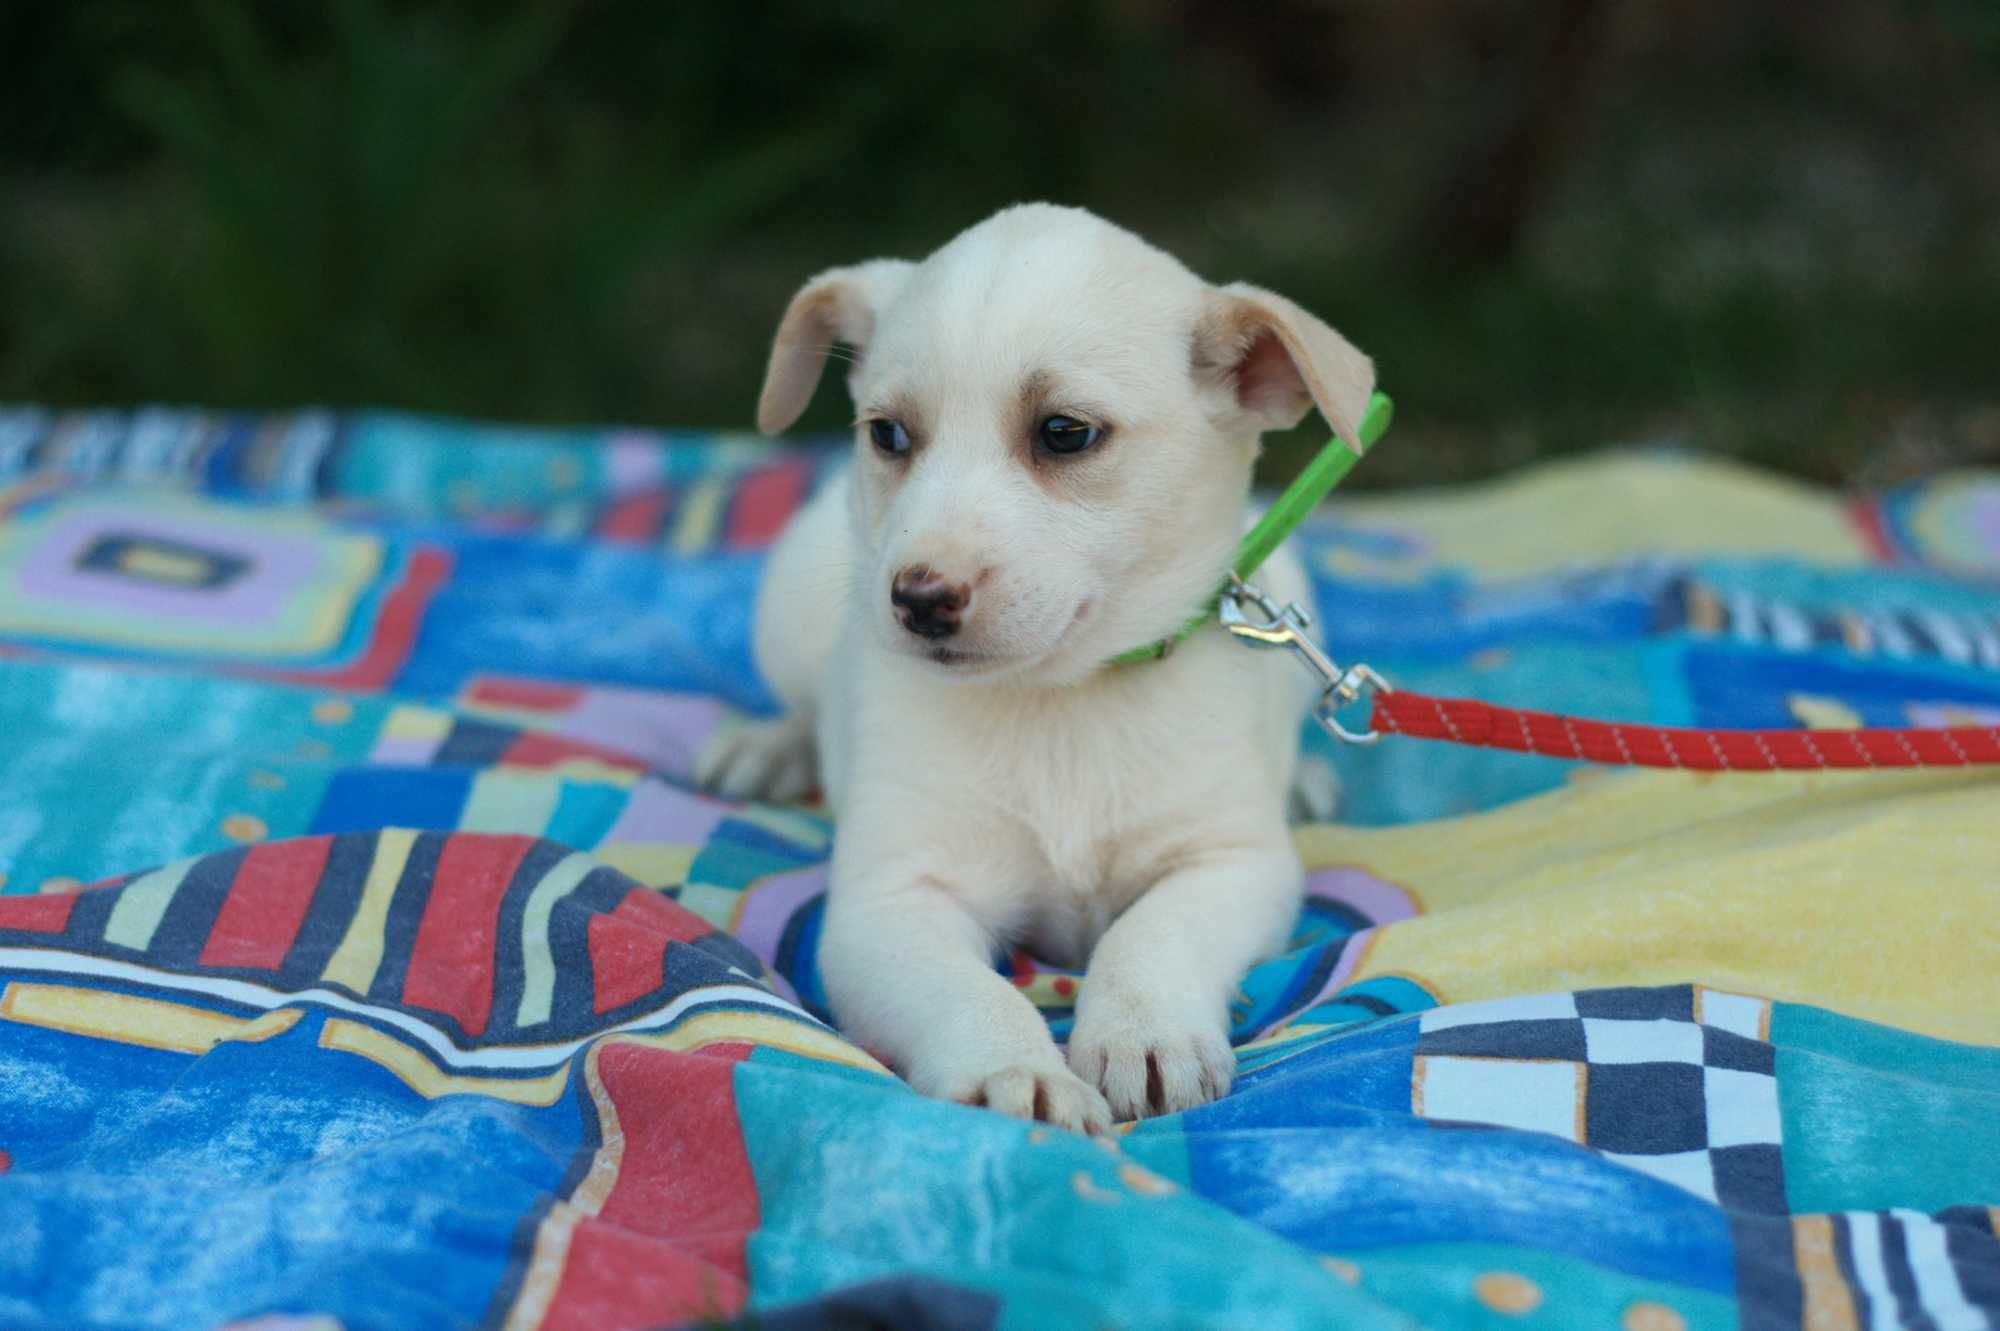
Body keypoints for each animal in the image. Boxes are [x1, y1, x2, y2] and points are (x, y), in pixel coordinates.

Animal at [696, 201, 1368, 1127]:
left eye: (1065, 432)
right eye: (887, 434)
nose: (919, 597)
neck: (1058, 699)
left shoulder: (1233, 863)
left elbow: (1151, 933)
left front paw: (1142, 1028)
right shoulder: (889, 902)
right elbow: (966, 991)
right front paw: (1012, 1072)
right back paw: (767, 746)